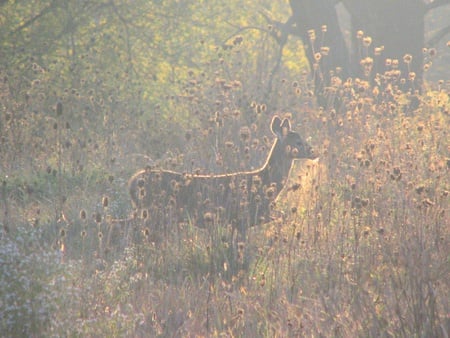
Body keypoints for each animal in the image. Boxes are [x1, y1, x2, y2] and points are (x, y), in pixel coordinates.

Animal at [126, 115, 316, 236]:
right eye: (298, 142)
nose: (315, 152)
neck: (265, 183)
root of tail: (133, 182)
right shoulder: (242, 217)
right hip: (156, 214)